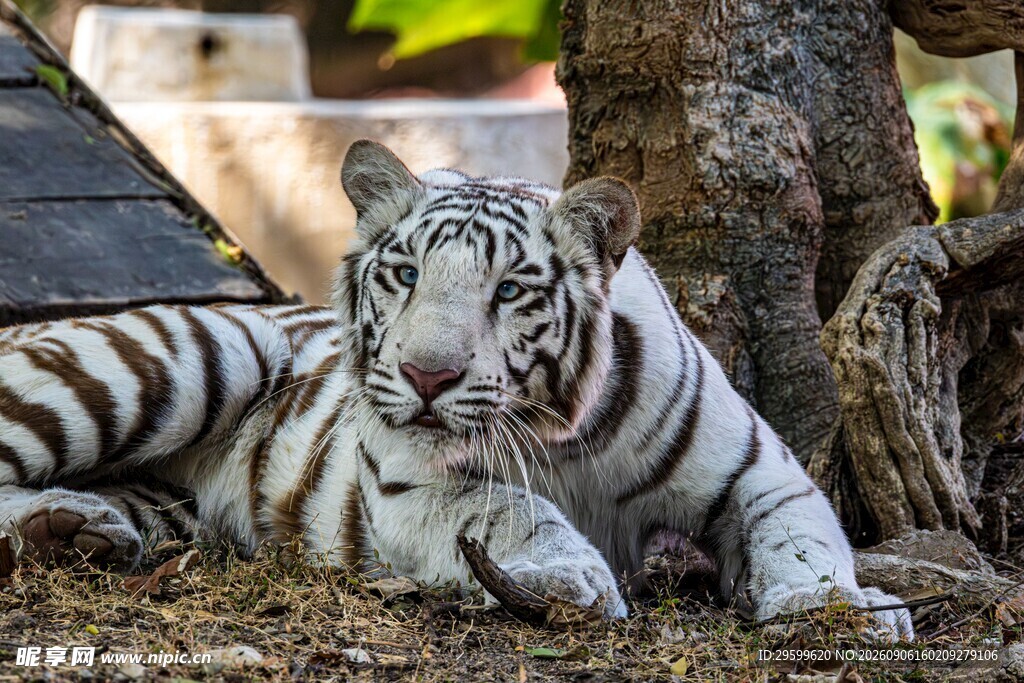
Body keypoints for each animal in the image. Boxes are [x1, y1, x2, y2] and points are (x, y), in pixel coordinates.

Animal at [0, 140, 912, 639]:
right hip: (192, 353)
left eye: (508, 290)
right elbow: (509, 507)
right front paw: (572, 577)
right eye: (405, 274)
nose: (426, 375)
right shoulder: (411, 486)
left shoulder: (764, 474)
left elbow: (804, 538)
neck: (564, 435)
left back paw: (76, 530)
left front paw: (841, 606)